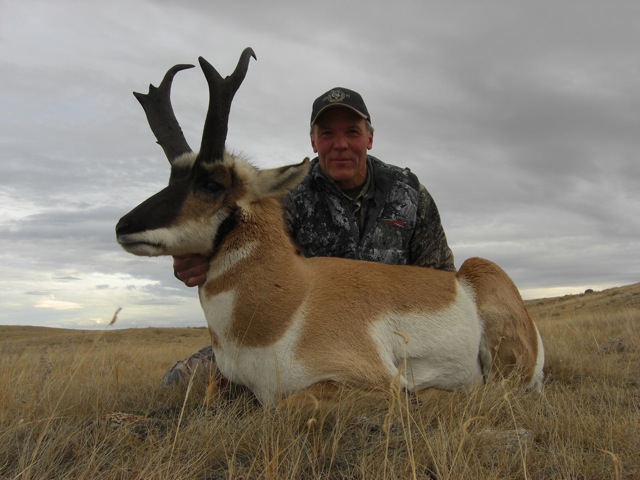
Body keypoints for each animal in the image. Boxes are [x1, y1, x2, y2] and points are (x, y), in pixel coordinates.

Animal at [116, 48, 544, 406]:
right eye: (172, 178)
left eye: (211, 184)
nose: (122, 226)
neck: (291, 301)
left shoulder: (370, 381)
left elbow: (290, 407)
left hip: (486, 289)